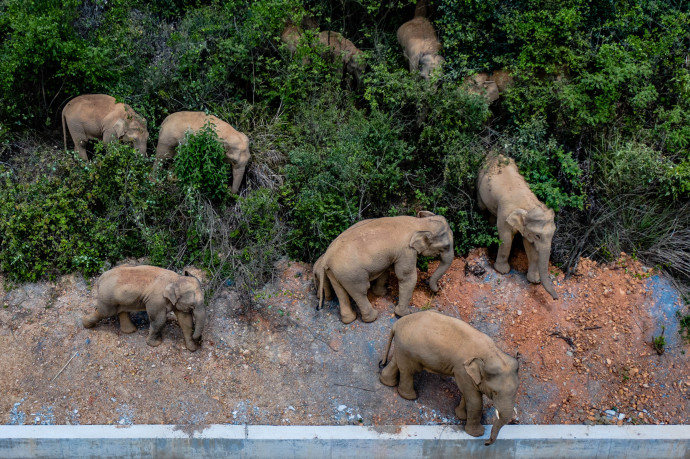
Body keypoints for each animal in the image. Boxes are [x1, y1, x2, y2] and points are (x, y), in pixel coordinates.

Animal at [314, 212, 454, 324]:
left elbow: (385, 270)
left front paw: (382, 293)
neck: (419, 223)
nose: (437, 290)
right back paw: (373, 317)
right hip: (351, 274)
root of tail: (327, 257)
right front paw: (405, 314)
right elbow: (407, 277)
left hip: (335, 272)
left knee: (341, 292)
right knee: (361, 291)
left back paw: (349, 319)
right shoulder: (406, 251)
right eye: (446, 247)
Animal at [378, 310, 520, 448]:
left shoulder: (465, 373)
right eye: (495, 392)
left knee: (397, 362)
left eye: (515, 392)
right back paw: (410, 397)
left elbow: (466, 394)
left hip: (402, 346)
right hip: (409, 349)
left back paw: (387, 382)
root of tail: (397, 324)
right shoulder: (462, 369)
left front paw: (461, 416)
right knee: (408, 370)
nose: (486, 443)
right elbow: (474, 400)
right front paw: (477, 434)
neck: (492, 353)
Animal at [478, 154, 560, 302]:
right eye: (538, 235)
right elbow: (505, 238)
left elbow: (529, 246)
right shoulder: (505, 213)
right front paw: (502, 271)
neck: (528, 205)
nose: (555, 299)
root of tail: (494, 153)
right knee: (482, 207)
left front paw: (534, 280)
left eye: (552, 234)